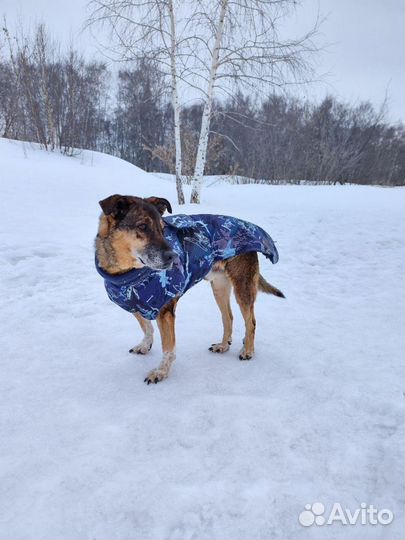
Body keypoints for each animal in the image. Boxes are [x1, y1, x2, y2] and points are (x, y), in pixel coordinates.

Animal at [94, 194, 284, 384]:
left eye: (163, 229)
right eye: (142, 226)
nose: (173, 257)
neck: (128, 275)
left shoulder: (165, 311)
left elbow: (168, 347)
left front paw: (161, 372)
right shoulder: (132, 303)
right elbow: (146, 326)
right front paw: (145, 345)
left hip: (242, 287)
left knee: (250, 321)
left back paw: (248, 350)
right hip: (219, 288)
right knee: (228, 317)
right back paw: (223, 345)